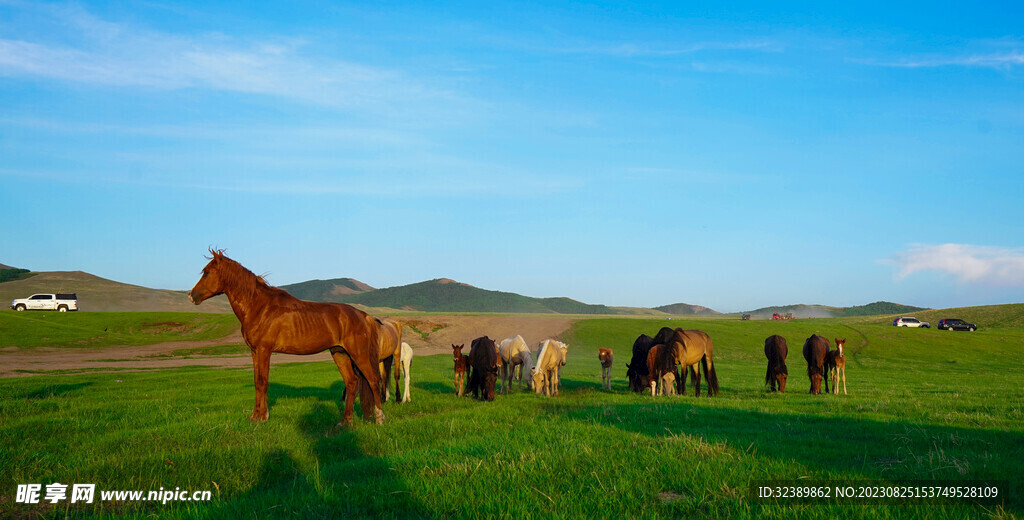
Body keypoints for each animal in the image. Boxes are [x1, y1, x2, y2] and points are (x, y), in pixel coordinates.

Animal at [189, 249, 385, 423]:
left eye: (206, 272)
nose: (191, 296)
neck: (259, 307)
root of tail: (363, 315)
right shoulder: (254, 351)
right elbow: (256, 382)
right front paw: (255, 416)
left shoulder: (264, 350)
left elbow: (263, 382)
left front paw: (262, 417)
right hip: (339, 353)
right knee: (352, 383)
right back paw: (345, 421)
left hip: (358, 354)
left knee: (373, 380)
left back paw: (379, 418)